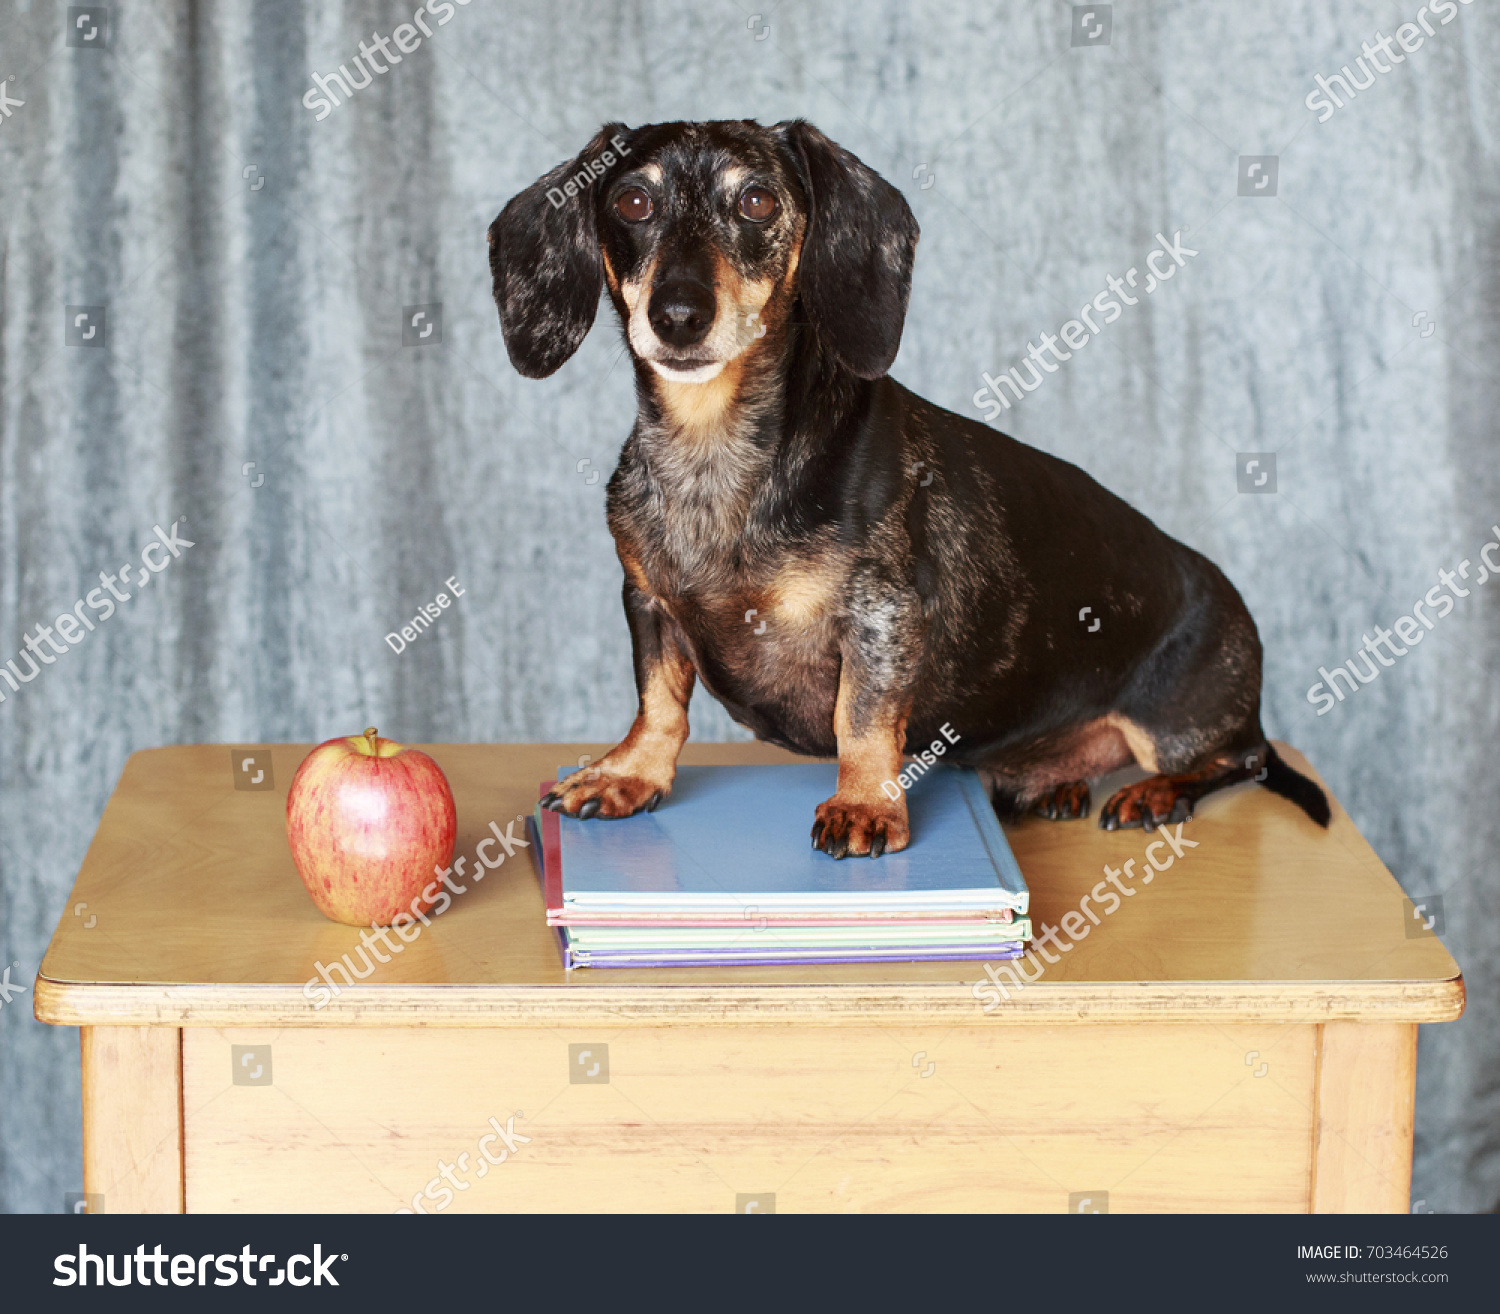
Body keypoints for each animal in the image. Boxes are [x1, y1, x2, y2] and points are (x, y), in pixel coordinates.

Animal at [486, 120, 1332, 864]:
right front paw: (629, 774)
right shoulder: (648, 601)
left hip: (1185, 722)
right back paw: (1053, 784)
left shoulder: (882, 616)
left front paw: (864, 803)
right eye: (632, 201)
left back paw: (1155, 793)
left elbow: (860, 718)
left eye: (756, 200)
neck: (714, 454)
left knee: (1239, 760)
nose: (679, 316)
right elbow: (659, 701)